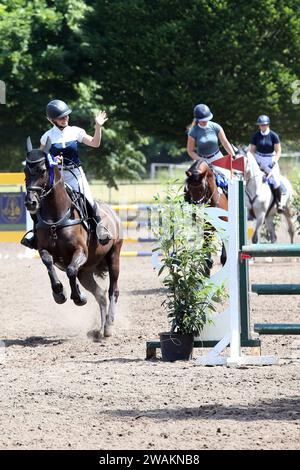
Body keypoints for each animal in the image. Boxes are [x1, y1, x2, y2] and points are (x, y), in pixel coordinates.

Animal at [22, 138, 122, 340]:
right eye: (25, 171)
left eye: (42, 170)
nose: (31, 202)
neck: (56, 215)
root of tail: (114, 214)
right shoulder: (45, 250)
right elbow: (49, 263)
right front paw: (59, 293)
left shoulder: (80, 252)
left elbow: (70, 270)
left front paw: (78, 298)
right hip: (87, 271)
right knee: (100, 294)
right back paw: (99, 330)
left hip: (114, 257)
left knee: (112, 291)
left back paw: (108, 327)